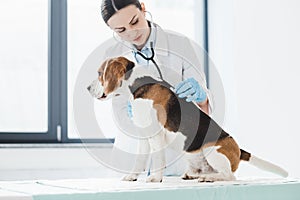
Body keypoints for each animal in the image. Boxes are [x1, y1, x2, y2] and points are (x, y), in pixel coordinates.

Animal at [87, 56, 288, 183]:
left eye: (99, 73)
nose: (88, 88)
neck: (139, 84)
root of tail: (239, 151)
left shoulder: (156, 136)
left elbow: (157, 158)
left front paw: (155, 178)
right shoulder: (144, 135)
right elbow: (139, 161)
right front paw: (132, 177)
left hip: (212, 151)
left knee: (229, 176)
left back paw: (208, 178)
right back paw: (194, 175)